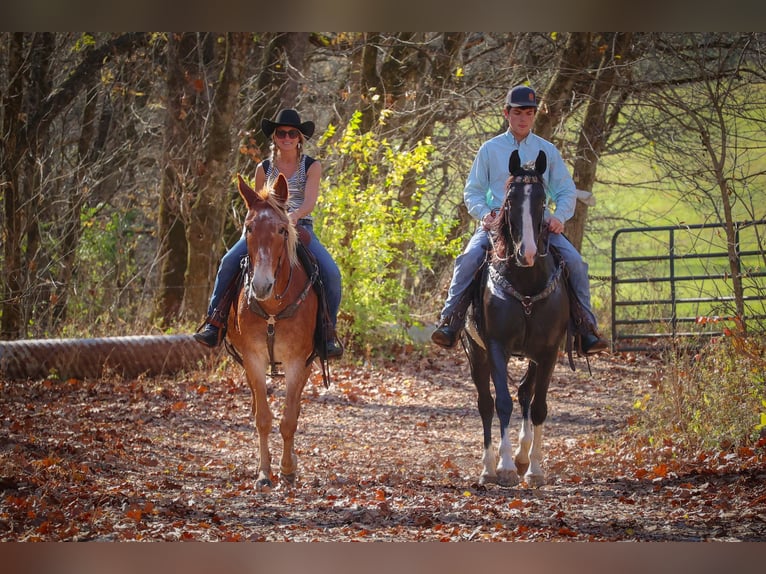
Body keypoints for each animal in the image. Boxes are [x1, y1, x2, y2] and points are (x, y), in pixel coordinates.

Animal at [225, 173, 318, 492]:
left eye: (281, 229)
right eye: (249, 228)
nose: (261, 285)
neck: (273, 308)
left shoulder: (297, 362)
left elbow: (289, 419)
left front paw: (287, 470)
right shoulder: (253, 359)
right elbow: (263, 418)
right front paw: (264, 473)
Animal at [462, 150, 568, 490]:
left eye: (541, 201)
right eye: (510, 200)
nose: (528, 253)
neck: (526, 284)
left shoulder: (548, 351)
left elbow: (538, 406)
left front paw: (533, 468)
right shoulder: (497, 347)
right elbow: (502, 403)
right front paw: (505, 467)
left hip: (533, 356)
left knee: (525, 393)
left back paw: (522, 456)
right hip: (475, 351)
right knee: (485, 403)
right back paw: (488, 467)